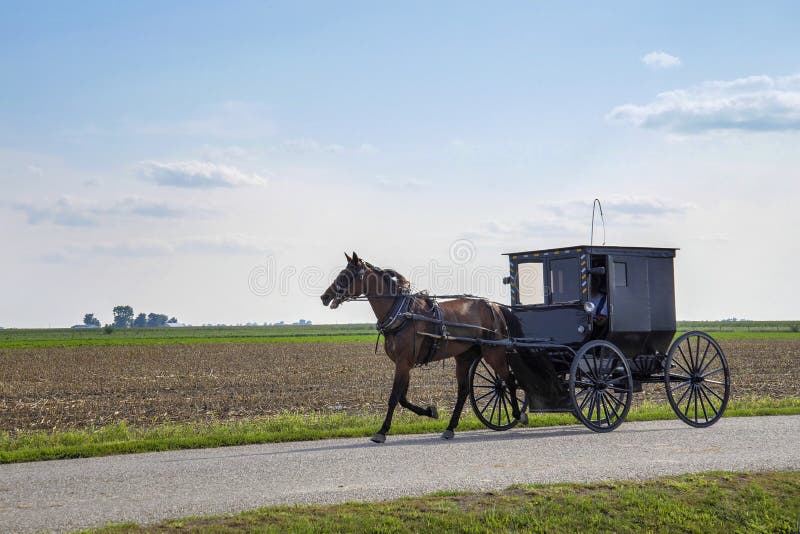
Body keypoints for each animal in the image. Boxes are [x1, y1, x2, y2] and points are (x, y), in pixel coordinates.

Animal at [320, 252, 525, 443]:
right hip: (464, 356)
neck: (401, 314)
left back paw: (518, 414)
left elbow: (394, 397)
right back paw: (450, 428)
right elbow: (402, 398)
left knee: (508, 380)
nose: (325, 296)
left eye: (345, 276)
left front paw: (382, 431)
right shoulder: (404, 363)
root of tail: (495, 306)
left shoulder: (404, 362)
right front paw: (430, 411)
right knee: (464, 390)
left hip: (493, 352)